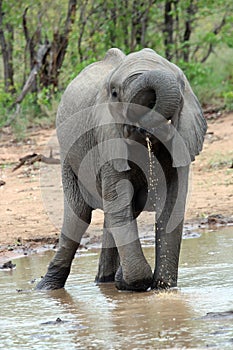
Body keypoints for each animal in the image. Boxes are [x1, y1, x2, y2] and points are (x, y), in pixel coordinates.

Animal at [36, 47, 208, 292]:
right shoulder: (105, 137)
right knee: (79, 215)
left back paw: (106, 280)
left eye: (181, 83)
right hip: (67, 157)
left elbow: (172, 203)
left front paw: (161, 287)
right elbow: (119, 199)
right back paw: (46, 287)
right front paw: (133, 282)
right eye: (115, 93)